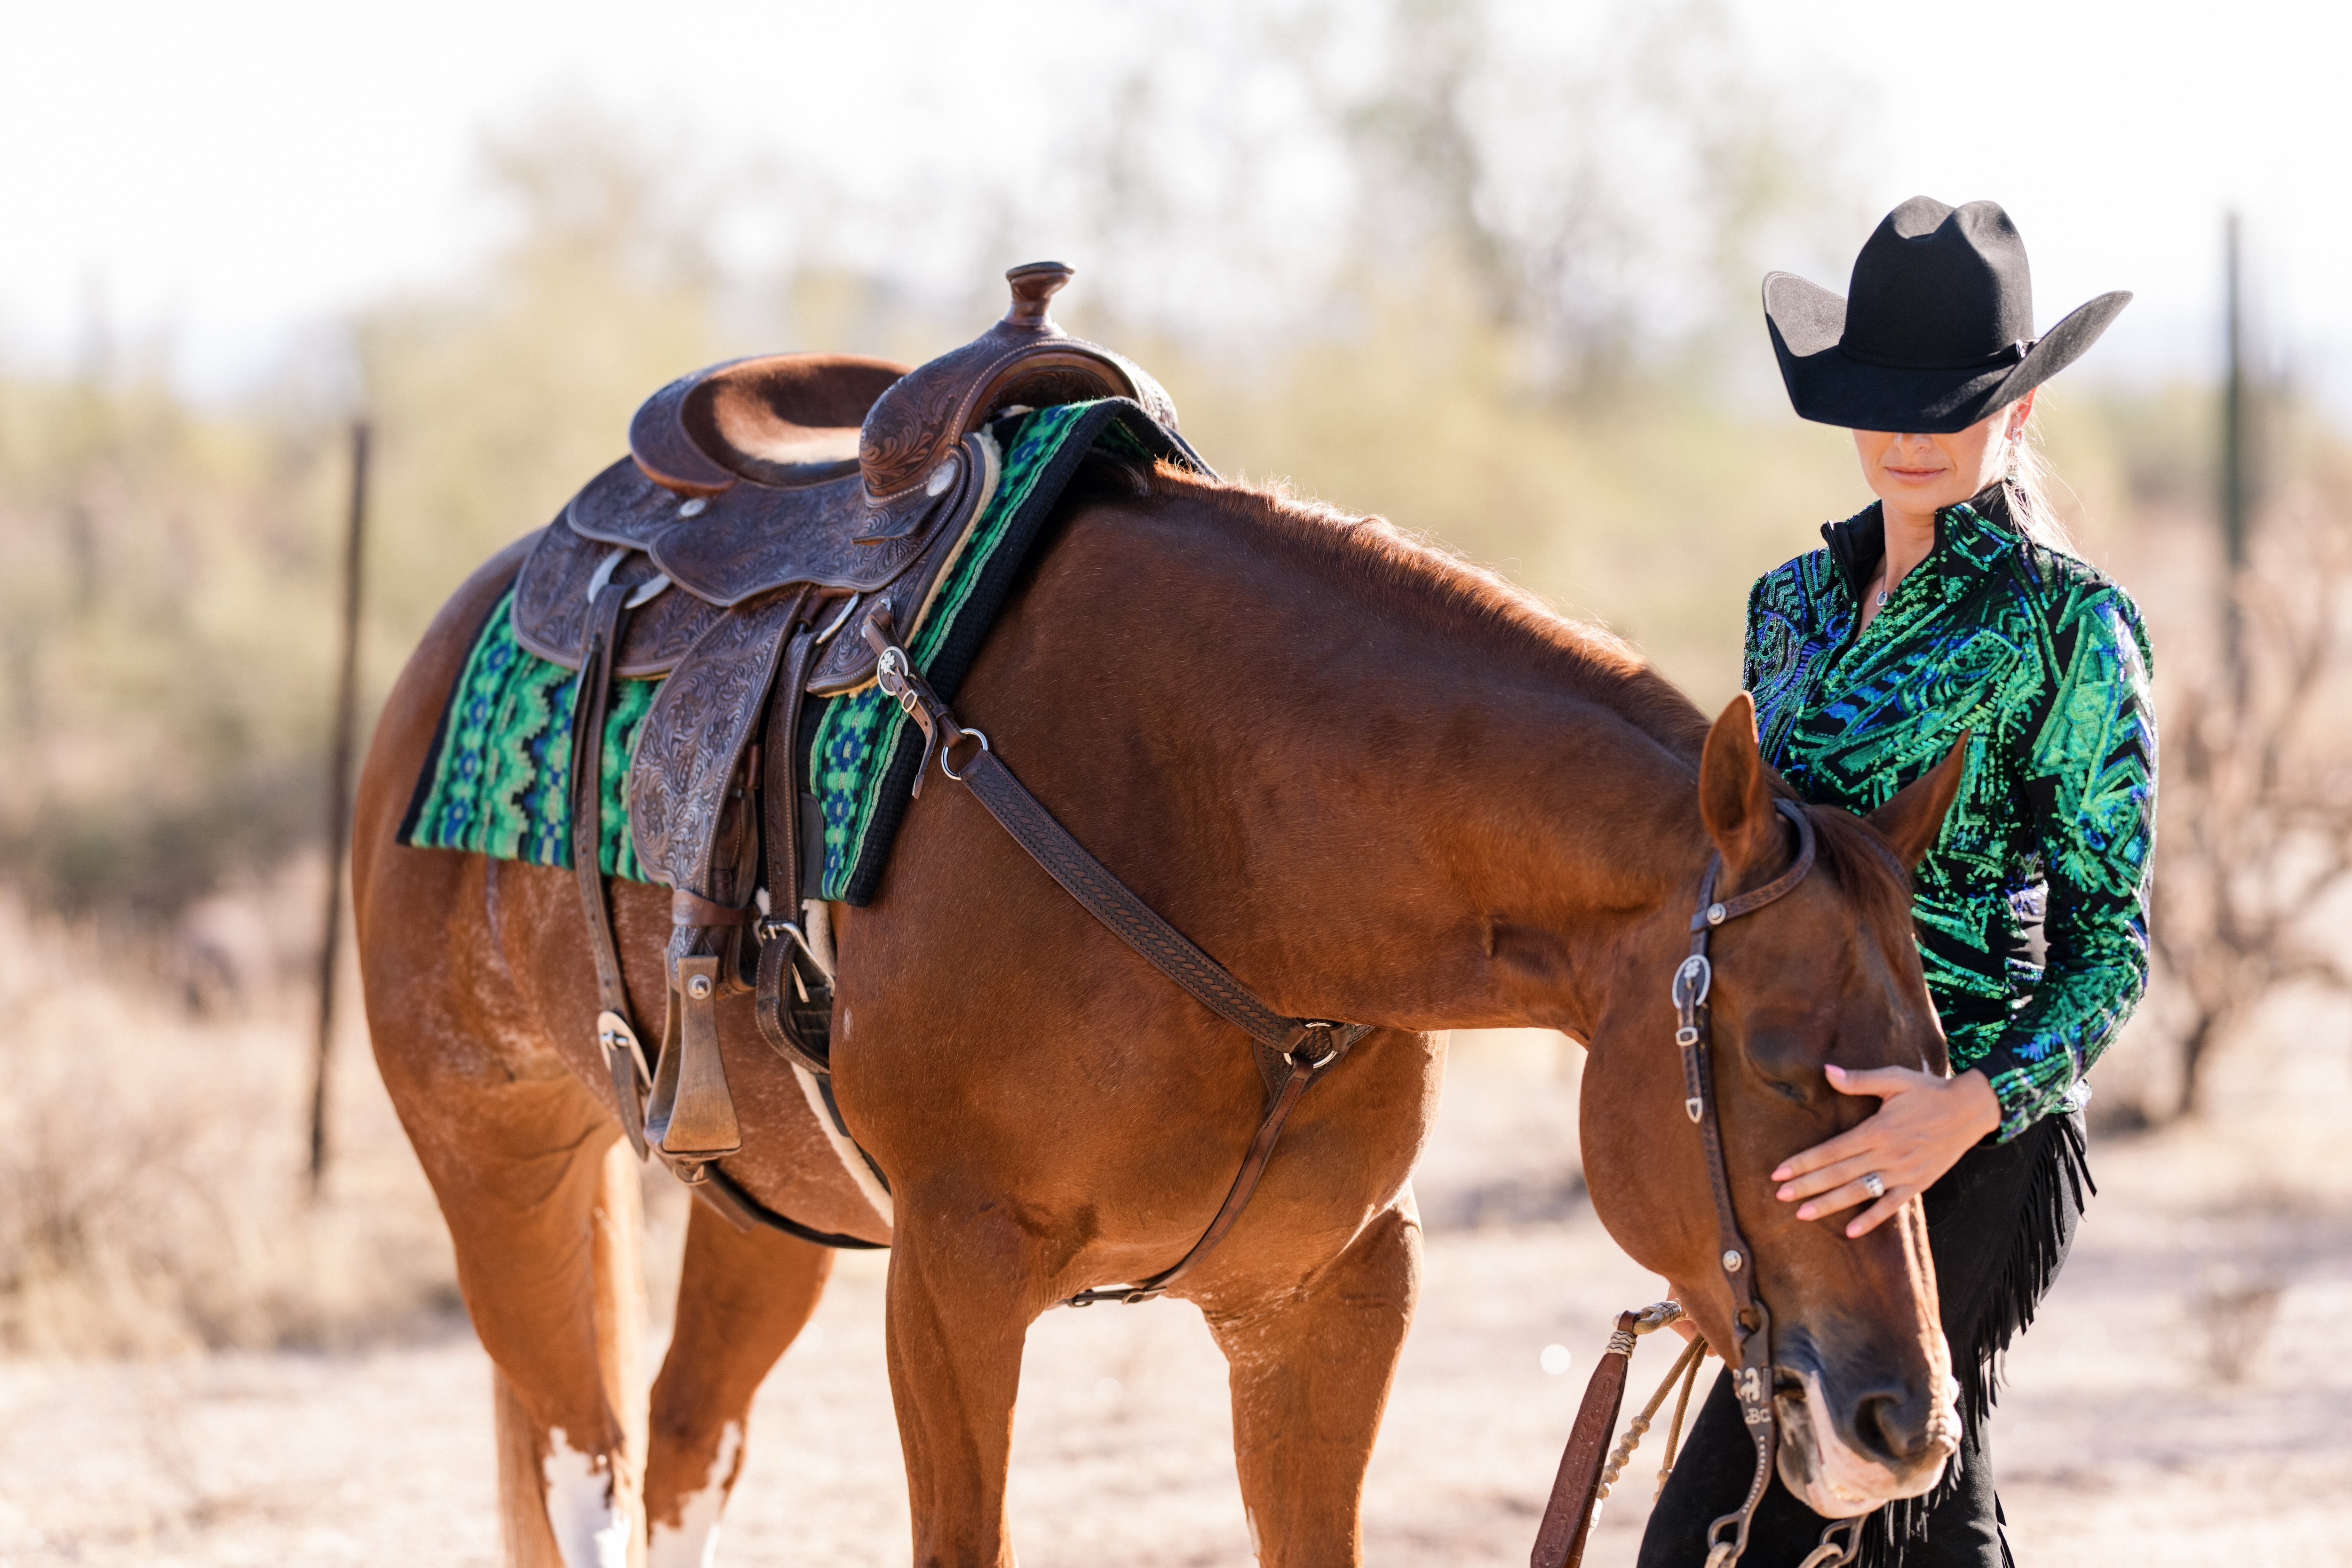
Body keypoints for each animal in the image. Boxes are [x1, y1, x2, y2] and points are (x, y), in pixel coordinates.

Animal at [348, 446, 1966, 1561]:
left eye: (1937, 1071)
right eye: (1772, 1061)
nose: (1901, 1422)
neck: (1220, 833)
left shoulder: (1325, 1295)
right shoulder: (950, 1281)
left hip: (768, 1212)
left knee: (684, 1445)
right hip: (501, 1172)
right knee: (590, 1463)